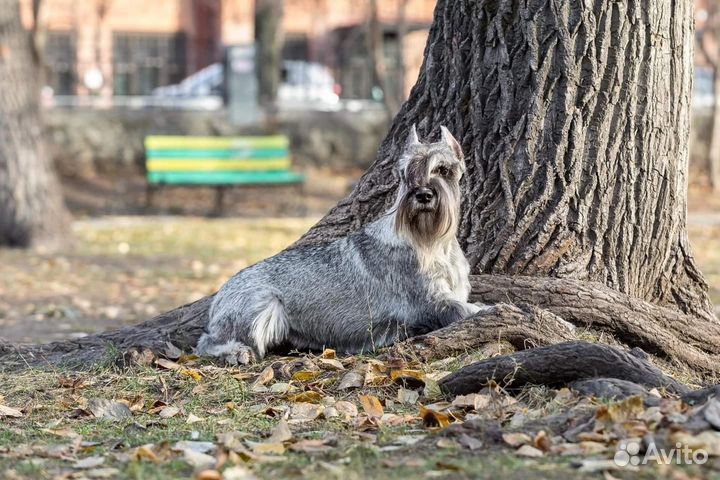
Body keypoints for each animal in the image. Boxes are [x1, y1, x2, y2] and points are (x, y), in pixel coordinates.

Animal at [194, 124, 480, 364]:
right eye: (405, 172)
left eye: (443, 170)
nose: (422, 195)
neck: (434, 243)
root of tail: (220, 293)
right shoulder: (434, 302)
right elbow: (472, 310)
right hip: (261, 307)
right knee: (206, 342)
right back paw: (236, 352)